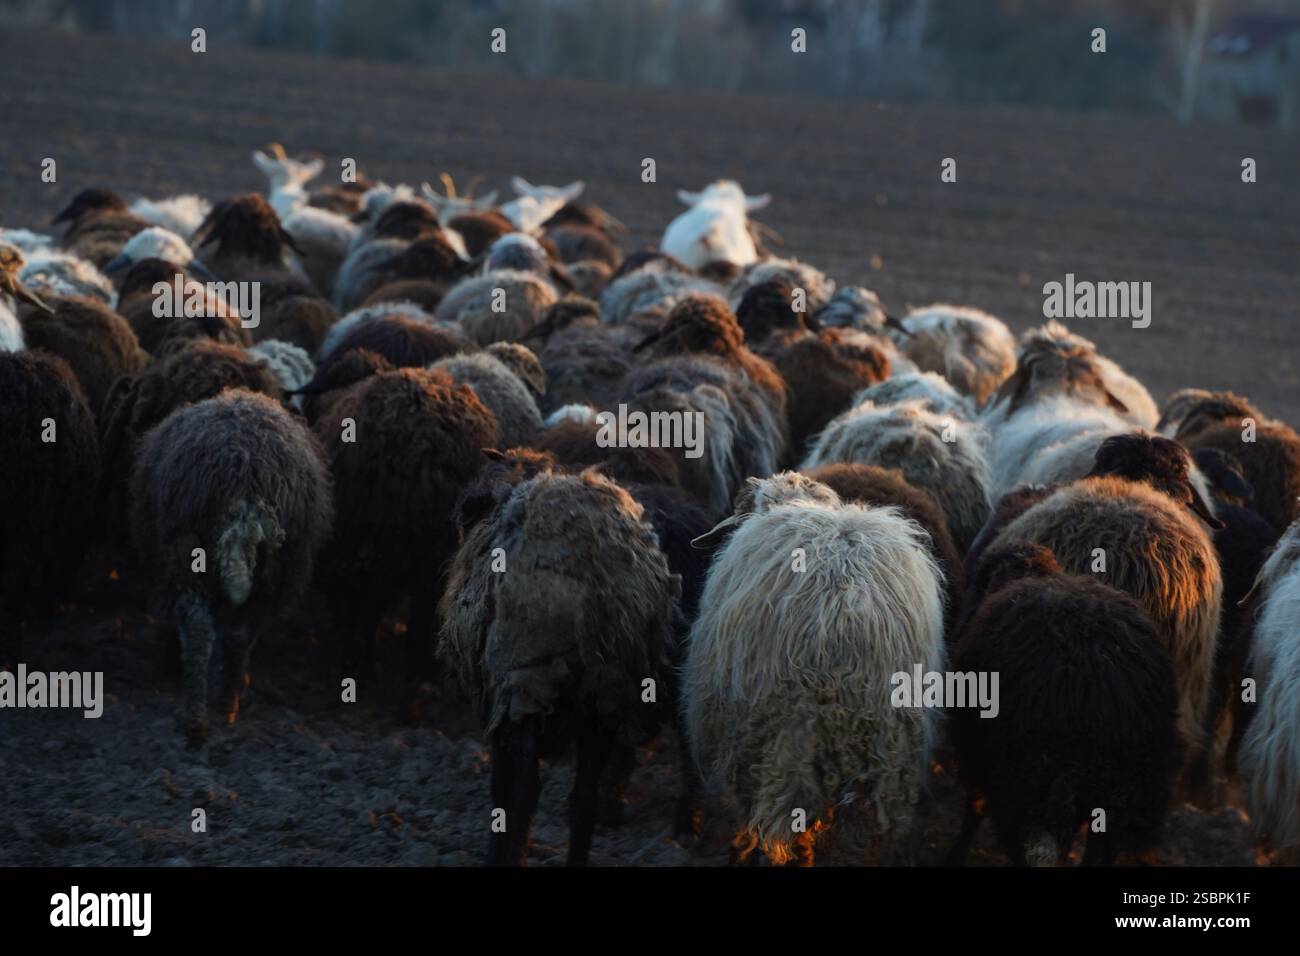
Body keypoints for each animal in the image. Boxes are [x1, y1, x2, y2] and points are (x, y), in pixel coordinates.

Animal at [129, 389, 332, 747]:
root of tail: (243, 481)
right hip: (270, 570)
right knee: (236, 631)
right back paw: (223, 705)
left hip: (184, 553)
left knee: (201, 625)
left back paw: (199, 717)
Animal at [439, 457, 679, 865]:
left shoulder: (500, 705)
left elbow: (503, 791)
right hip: (603, 691)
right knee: (584, 798)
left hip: (525, 679)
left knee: (523, 790)